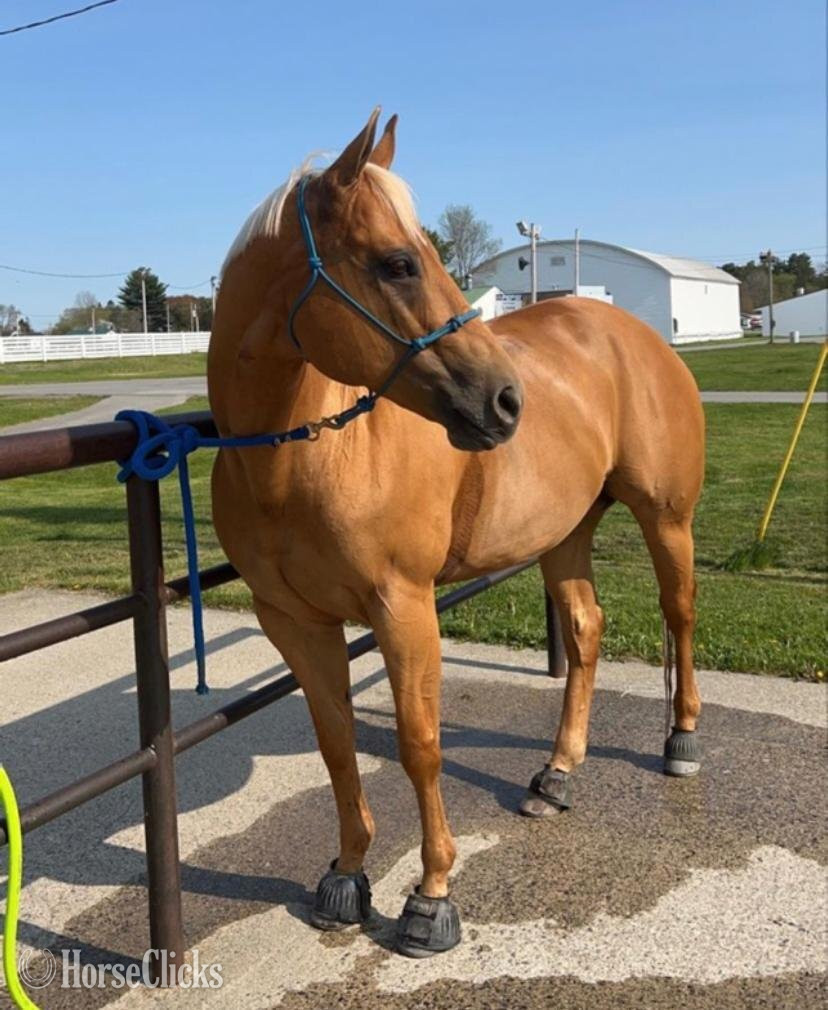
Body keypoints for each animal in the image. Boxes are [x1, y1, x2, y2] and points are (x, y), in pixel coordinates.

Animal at [207, 108, 705, 958]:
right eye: (398, 263)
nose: (506, 401)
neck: (303, 456)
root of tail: (636, 333)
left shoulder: (402, 608)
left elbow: (420, 744)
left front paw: (430, 898)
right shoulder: (295, 623)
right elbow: (337, 745)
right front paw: (348, 876)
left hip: (666, 518)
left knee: (678, 616)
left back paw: (681, 742)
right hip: (565, 531)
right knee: (586, 628)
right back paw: (556, 775)